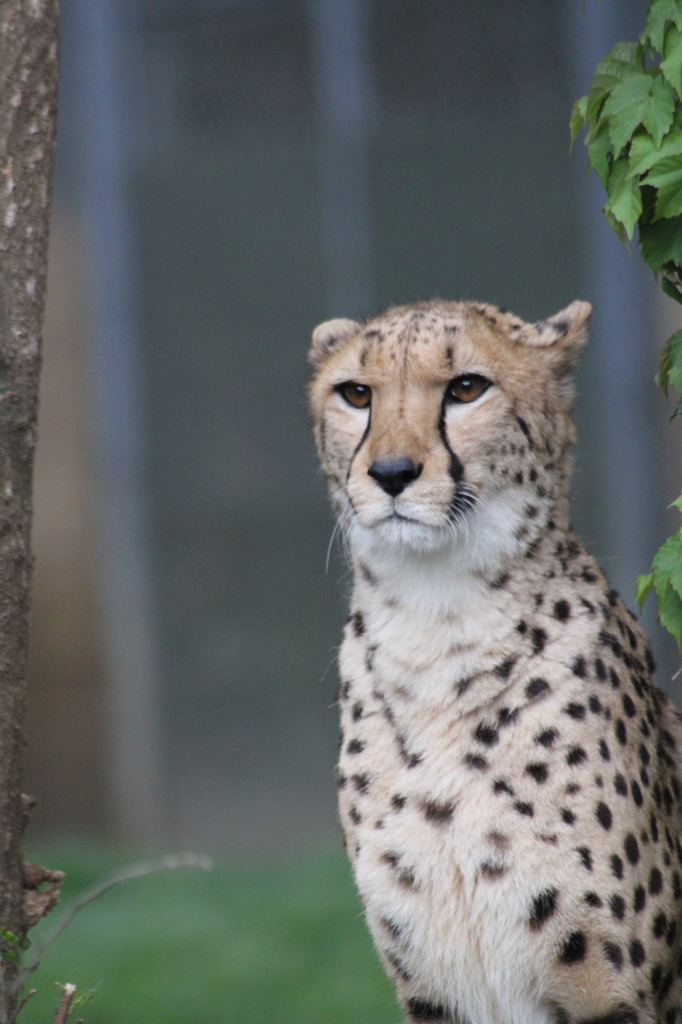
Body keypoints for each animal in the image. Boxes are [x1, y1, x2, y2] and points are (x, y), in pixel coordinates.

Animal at [311, 299, 679, 1024]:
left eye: (466, 388)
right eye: (356, 394)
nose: (391, 473)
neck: (434, 619)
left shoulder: (611, 996)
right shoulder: (432, 991)